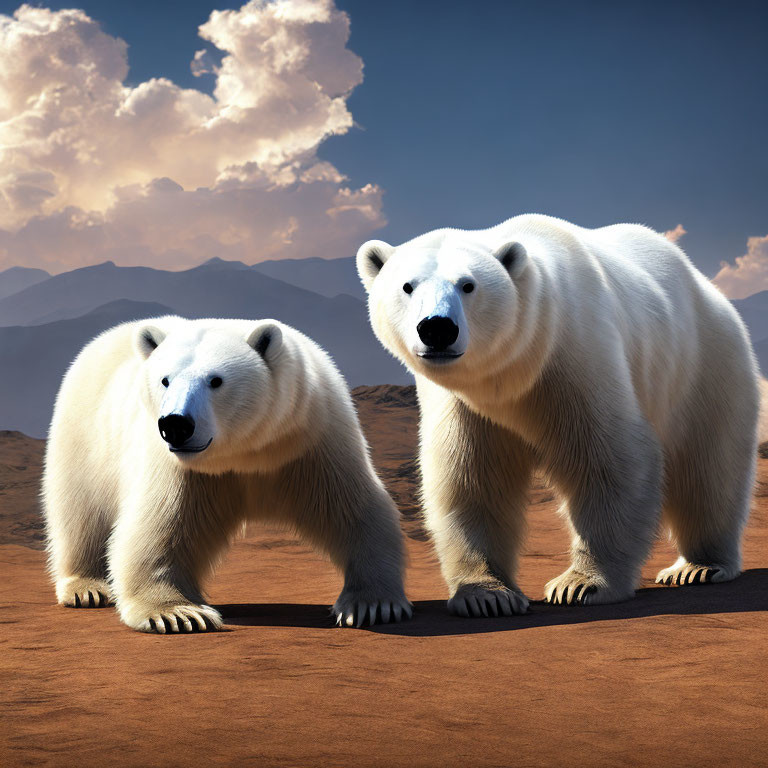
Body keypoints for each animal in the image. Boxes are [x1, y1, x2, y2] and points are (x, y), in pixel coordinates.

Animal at [43, 316, 414, 632]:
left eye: (216, 380)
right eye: (165, 379)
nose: (175, 424)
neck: (244, 451)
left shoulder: (310, 438)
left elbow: (353, 509)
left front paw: (371, 605)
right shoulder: (179, 467)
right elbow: (158, 526)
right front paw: (178, 613)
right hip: (85, 431)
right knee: (80, 511)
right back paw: (87, 588)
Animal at [356, 213, 760, 616]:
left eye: (468, 285)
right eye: (407, 286)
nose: (437, 327)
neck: (515, 370)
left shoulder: (575, 355)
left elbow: (611, 459)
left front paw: (580, 584)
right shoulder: (466, 404)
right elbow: (471, 478)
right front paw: (486, 594)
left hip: (705, 363)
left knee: (710, 467)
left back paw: (699, 566)